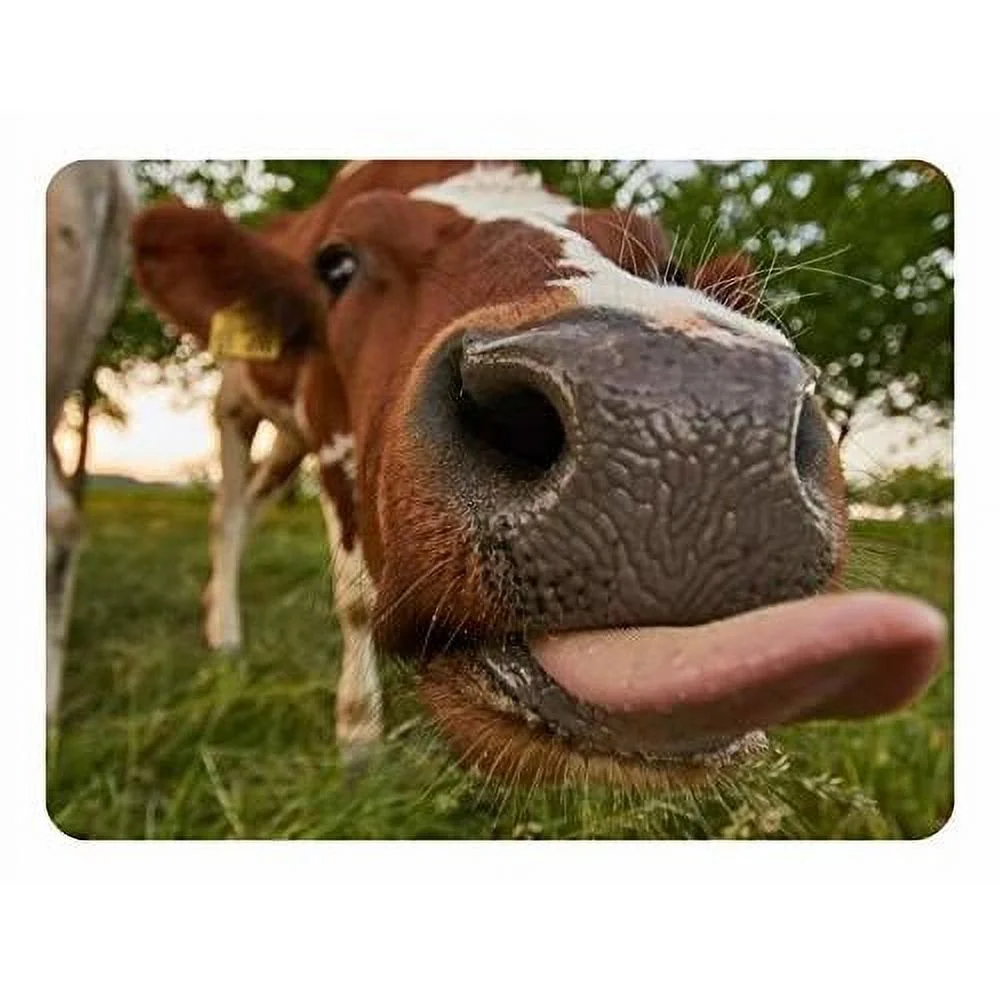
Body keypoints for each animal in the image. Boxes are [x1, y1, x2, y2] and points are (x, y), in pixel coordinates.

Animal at [130, 160, 945, 788]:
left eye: (670, 267)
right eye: (337, 265)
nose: (683, 420)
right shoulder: (329, 429)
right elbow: (358, 599)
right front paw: (358, 742)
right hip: (238, 403)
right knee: (230, 509)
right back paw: (224, 635)